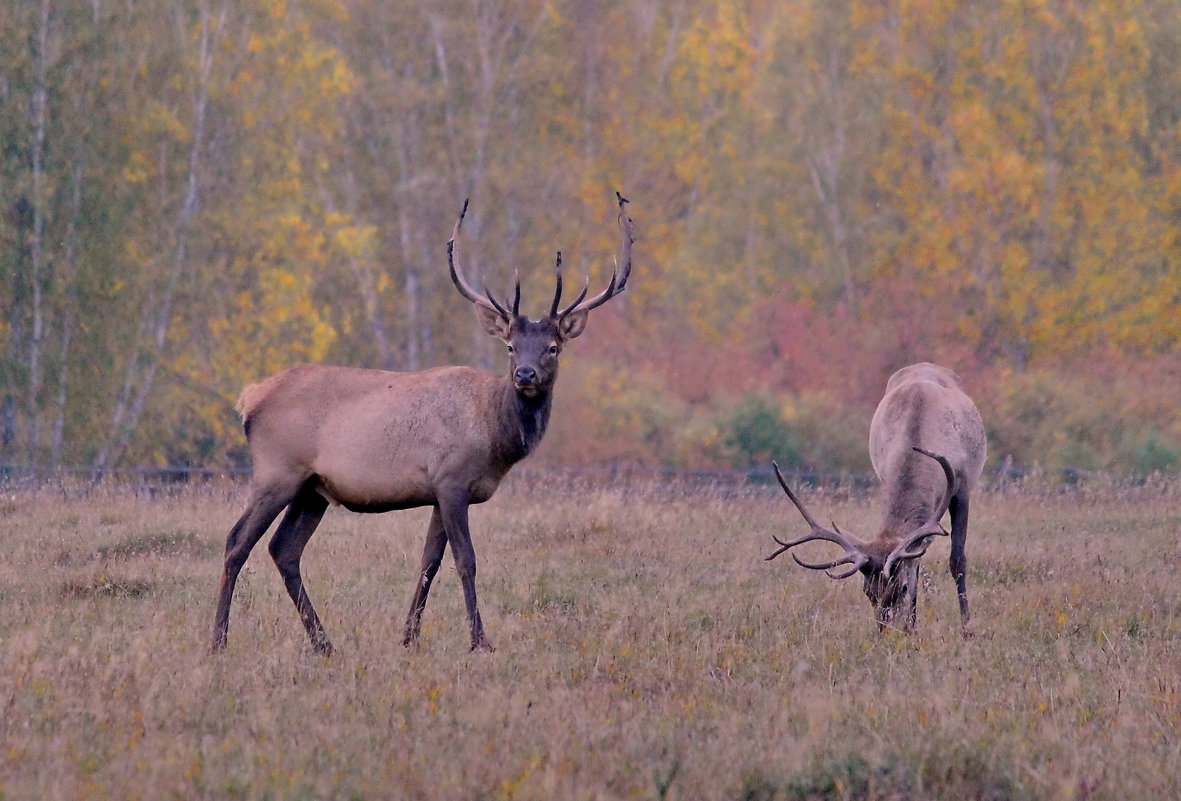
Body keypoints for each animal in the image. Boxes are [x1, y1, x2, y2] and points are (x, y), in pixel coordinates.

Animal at [212, 192, 637, 652]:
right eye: (510, 346)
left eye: (553, 347)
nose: (525, 375)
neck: (496, 437)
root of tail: (249, 399)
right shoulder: (451, 481)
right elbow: (465, 560)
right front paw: (479, 641)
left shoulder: (439, 491)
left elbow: (429, 561)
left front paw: (409, 638)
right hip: (277, 472)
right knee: (236, 542)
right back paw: (219, 639)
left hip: (312, 488)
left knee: (284, 549)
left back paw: (324, 643)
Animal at [765, 363, 987, 633]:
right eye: (867, 592)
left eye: (900, 588)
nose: (886, 632)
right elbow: (915, 564)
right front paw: (913, 629)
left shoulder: (963, 487)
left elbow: (958, 561)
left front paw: (967, 629)